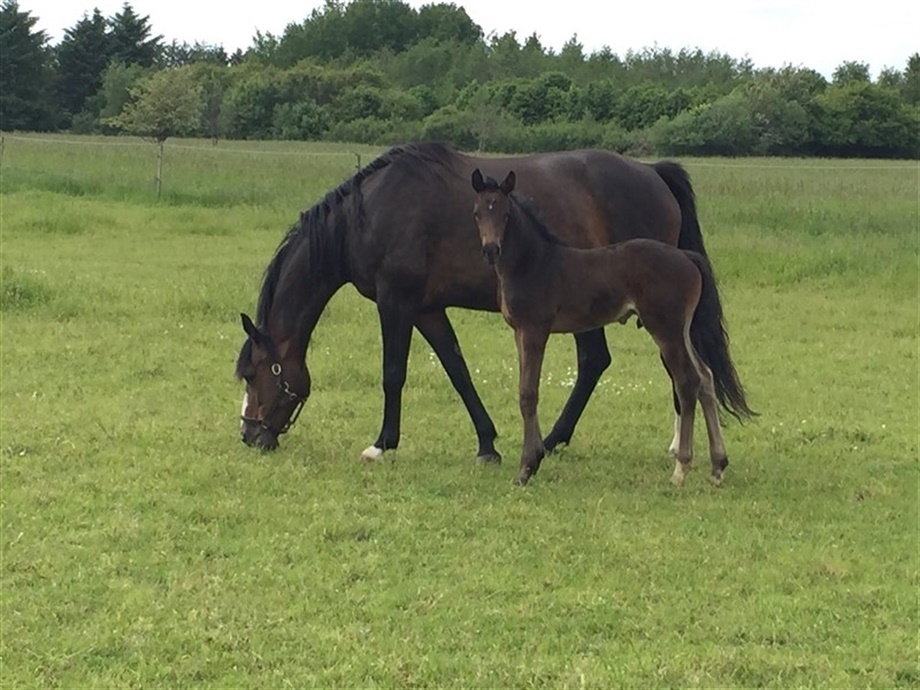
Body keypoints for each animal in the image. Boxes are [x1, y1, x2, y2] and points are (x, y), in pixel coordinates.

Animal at [236, 141, 712, 463]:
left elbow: (393, 373)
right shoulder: (427, 310)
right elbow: (458, 370)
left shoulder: (395, 302)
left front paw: (382, 444)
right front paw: (487, 444)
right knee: (605, 362)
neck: (369, 215)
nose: (250, 436)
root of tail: (652, 173)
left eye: (253, 374)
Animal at [471, 169, 755, 486]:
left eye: (505, 214)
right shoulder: (519, 332)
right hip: (681, 330)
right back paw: (717, 467)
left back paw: (680, 469)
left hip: (665, 329)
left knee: (686, 381)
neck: (534, 263)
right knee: (705, 377)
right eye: (477, 212)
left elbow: (528, 393)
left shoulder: (535, 330)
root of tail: (686, 257)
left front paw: (526, 468)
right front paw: (532, 461)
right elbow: (525, 393)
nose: (490, 250)